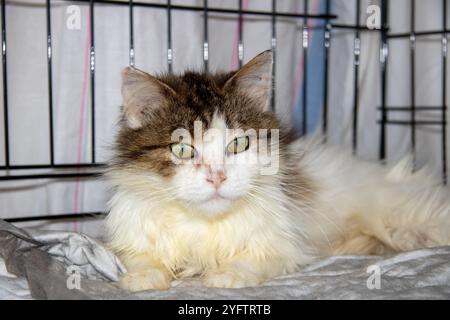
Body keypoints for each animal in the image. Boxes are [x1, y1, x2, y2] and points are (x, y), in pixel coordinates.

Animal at [105, 50, 450, 292]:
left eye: (239, 144)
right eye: (182, 149)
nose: (218, 177)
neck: (205, 224)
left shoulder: (283, 243)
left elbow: (253, 259)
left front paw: (226, 274)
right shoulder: (133, 234)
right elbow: (142, 258)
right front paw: (142, 277)